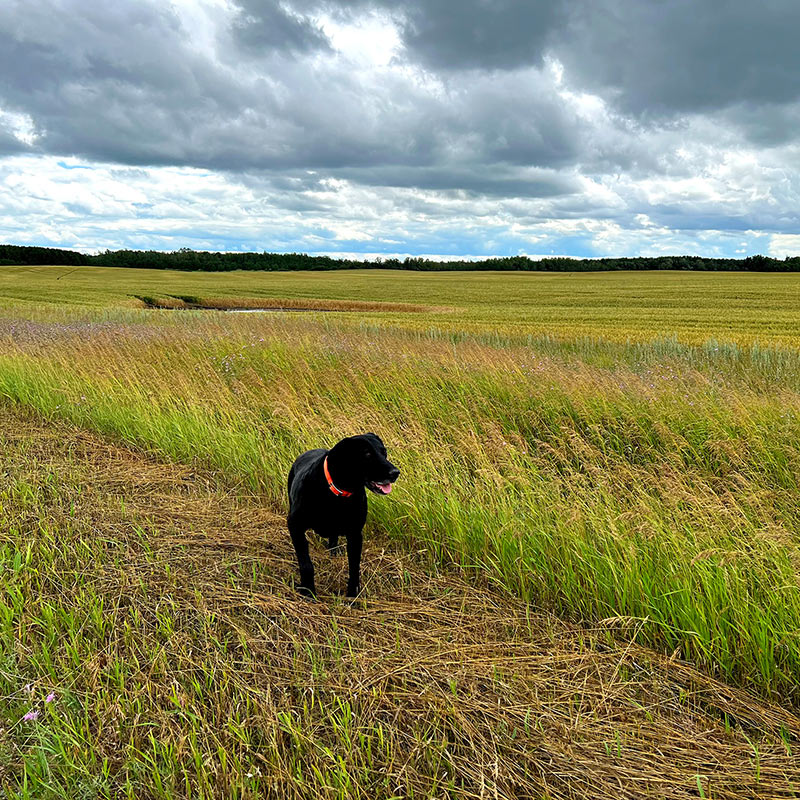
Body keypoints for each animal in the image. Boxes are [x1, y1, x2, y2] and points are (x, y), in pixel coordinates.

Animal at [288, 434, 400, 596]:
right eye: (367, 454)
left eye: (384, 452)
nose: (395, 472)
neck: (337, 494)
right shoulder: (295, 525)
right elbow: (306, 564)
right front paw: (308, 591)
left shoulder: (355, 534)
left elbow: (354, 566)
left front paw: (353, 594)